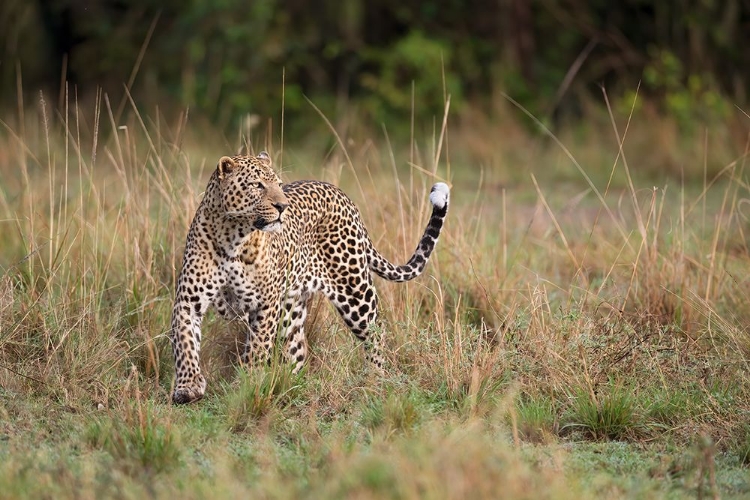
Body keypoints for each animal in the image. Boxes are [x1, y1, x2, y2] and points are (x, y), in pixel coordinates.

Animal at [170, 151, 450, 402]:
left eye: (278, 184)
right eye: (257, 185)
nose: (282, 206)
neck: (233, 236)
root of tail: (344, 197)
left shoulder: (265, 304)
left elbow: (257, 348)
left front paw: (245, 384)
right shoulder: (188, 301)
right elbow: (185, 343)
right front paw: (187, 388)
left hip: (355, 292)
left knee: (376, 334)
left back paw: (376, 379)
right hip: (291, 308)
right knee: (298, 351)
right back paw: (290, 386)